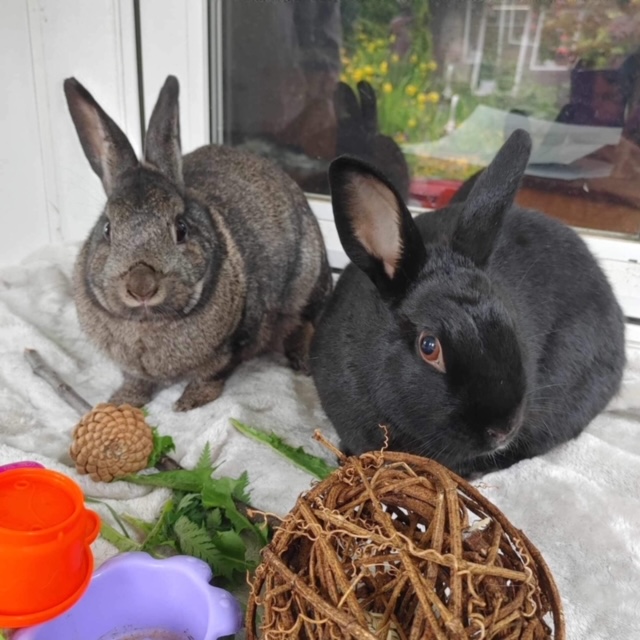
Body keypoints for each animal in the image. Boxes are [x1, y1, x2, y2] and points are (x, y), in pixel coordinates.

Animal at [64, 75, 332, 411]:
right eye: (108, 229)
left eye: (181, 228)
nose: (141, 286)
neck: (148, 321)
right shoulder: (132, 368)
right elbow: (136, 381)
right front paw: (122, 402)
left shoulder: (235, 342)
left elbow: (212, 374)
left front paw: (189, 402)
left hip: (307, 279)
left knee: (306, 321)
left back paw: (302, 361)